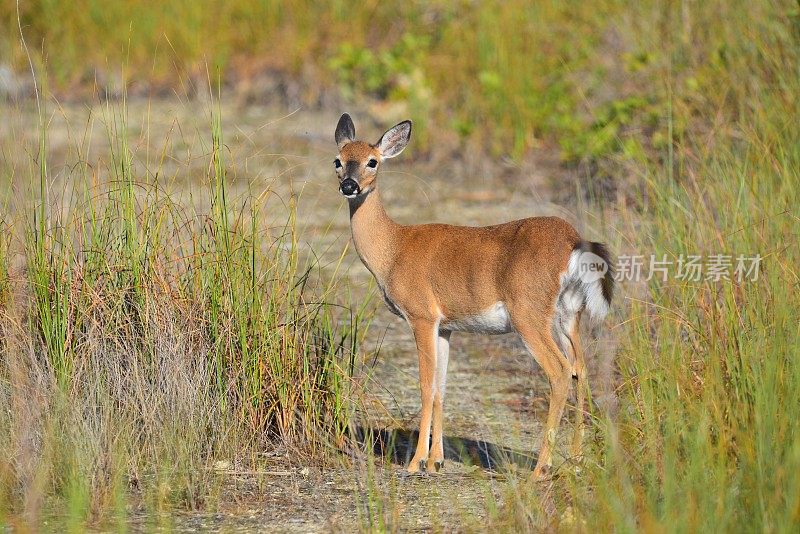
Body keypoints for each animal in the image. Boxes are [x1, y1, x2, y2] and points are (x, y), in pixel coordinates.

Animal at [334, 114, 616, 482]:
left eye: (372, 161)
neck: (394, 248)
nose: (349, 186)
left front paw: (415, 463)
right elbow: (441, 388)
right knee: (580, 368)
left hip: (528, 312)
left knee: (560, 371)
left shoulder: (422, 315)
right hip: (568, 313)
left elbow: (425, 386)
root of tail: (573, 241)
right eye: (338, 160)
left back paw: (541, 468)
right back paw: (578, 460)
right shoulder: (445, 326)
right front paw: (436, 461)